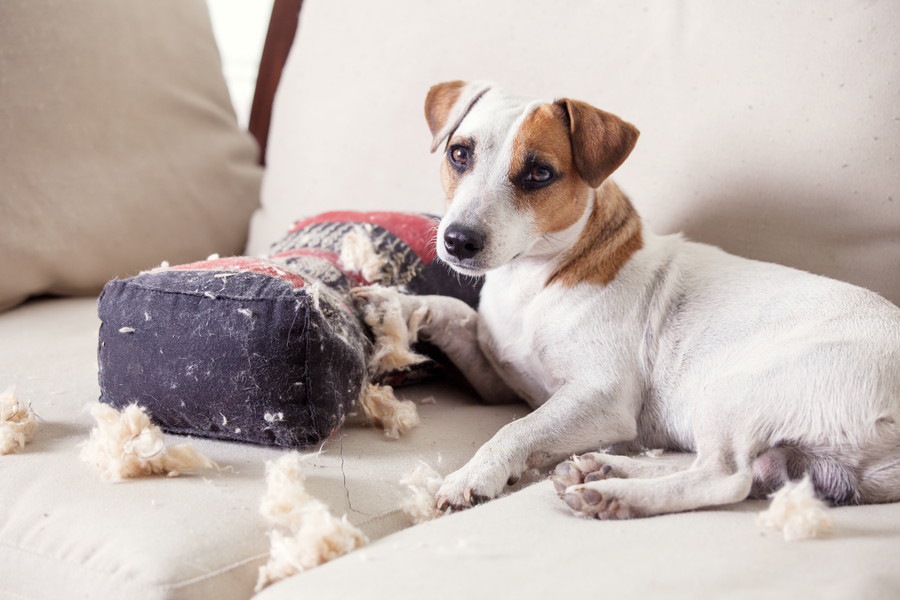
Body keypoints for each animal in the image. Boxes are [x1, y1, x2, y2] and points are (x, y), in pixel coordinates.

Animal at [352, 82, 900, 516]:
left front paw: (473, 475)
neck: (535, 280)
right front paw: (391, 304)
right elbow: (457, 312)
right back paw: (599, 470)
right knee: (746, 474)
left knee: (725, 478)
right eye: (459, 154)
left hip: (731, 391)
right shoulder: (499, 381)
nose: (457, 241)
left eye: (539, 174)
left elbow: (518, 430)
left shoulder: (599, 397)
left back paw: (616, 497)